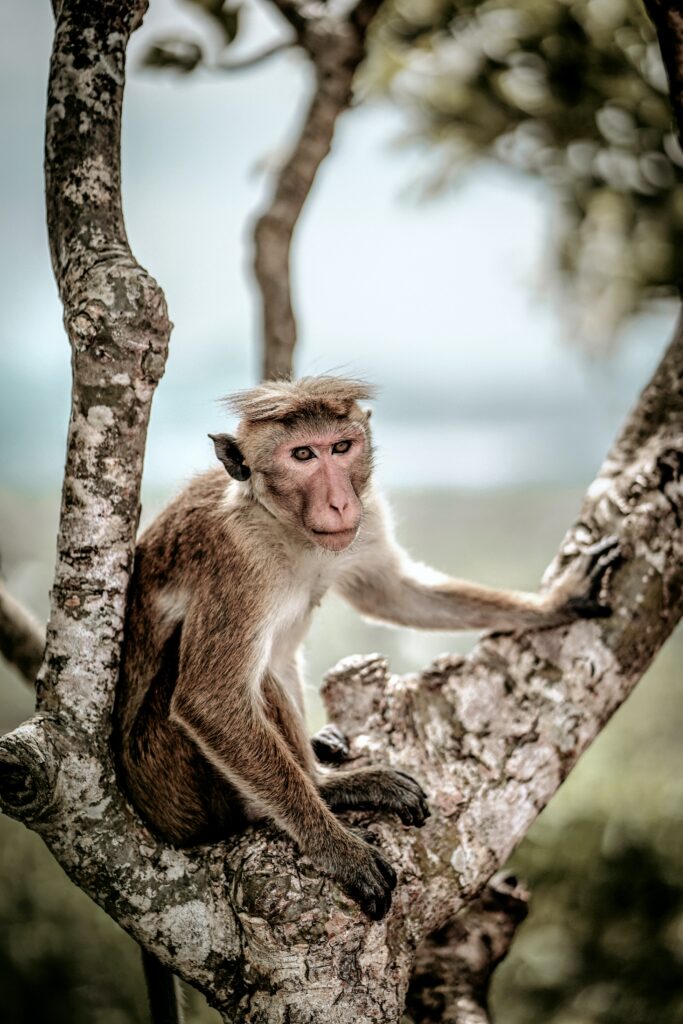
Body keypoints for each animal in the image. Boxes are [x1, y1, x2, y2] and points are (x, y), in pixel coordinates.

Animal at [113, 375, 614, 1019]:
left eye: (340, 447)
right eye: (302, 455)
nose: (338, 502)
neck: (285, 529)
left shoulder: (367, 517)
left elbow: (391, 592)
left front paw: (558, 602)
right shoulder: (236, 561)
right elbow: (209, 699)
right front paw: (338, 850)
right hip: (169, 781)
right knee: (241, 680)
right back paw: (327, 792)